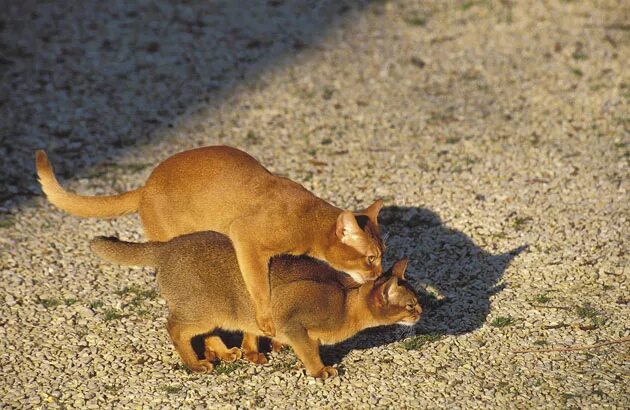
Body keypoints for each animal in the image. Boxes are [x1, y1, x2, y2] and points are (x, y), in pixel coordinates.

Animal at [39, 147, 388, 336]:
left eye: (381, 256)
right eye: (370, 258)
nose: (378, 274)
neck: (306, 215)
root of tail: (145, 186)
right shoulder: (244, 236)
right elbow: (259, 287)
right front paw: (265, 320)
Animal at [90, 232, 424, 380]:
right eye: (410, 306)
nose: (422, 313)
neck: (344, 301)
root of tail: (168, 245)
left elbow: (287, 341)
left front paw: (266, 355)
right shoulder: (292, 316)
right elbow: (308, 349)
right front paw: (319, 370)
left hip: (217, 312)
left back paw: (226, 352)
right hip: (204, 310)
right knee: (174, 327)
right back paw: (195, 364)